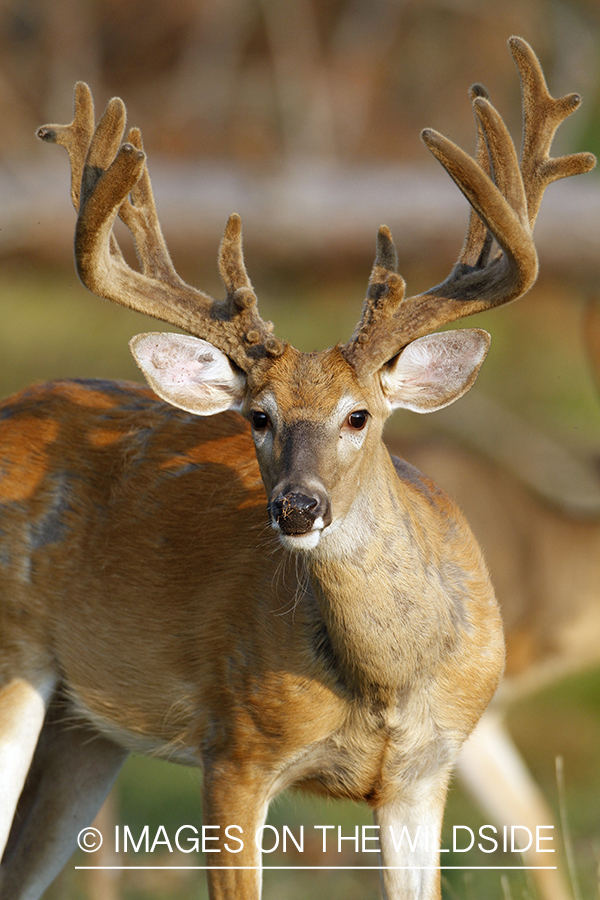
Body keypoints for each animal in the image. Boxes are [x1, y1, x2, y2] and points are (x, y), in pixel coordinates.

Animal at [0, 37, 596, 900]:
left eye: (360, 416)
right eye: (258, 416)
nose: (297, 508)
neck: (382, 686)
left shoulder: (426, 773)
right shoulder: (234, 746)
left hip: (85, 726)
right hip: (14, 662)